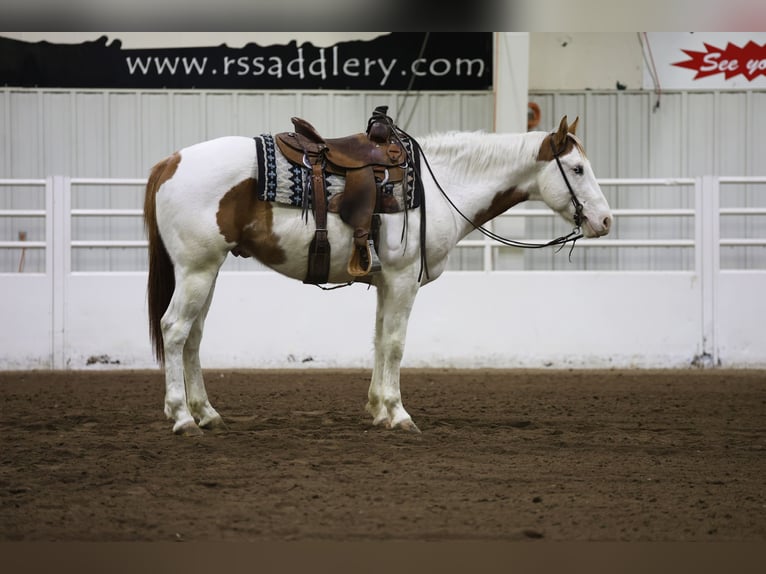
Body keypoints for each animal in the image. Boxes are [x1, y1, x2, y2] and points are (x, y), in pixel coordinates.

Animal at [142, 113, 612, 436]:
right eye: (577, 169)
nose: (605, 220)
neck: (439, 187)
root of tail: (170, 161)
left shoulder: (388, 283)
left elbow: (379, 340)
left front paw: (378, 409)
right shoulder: (403, 281)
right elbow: (396, 344)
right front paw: (398, 413)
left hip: (206, 273)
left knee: (193, 337)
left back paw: (207, 414)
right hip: (197, 270)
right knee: (175, 329)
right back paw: (182, 417)